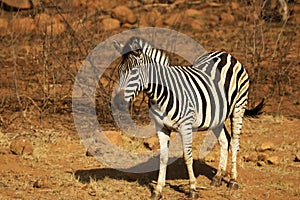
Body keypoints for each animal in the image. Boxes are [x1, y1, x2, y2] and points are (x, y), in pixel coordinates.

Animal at [113, 36, 264, 199]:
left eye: (134, 72)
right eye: (119, 71)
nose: (117, 102)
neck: (161, 94)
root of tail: (226, 54)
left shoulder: (185, 126)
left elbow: (187, 156)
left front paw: (192, 189)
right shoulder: (161, 127)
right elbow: (163, 157)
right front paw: (158, 190)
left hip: (238, 108)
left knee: (235, 142)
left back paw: (233, 180)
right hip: (216, 116)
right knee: (225, 141)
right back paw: (218, 177)